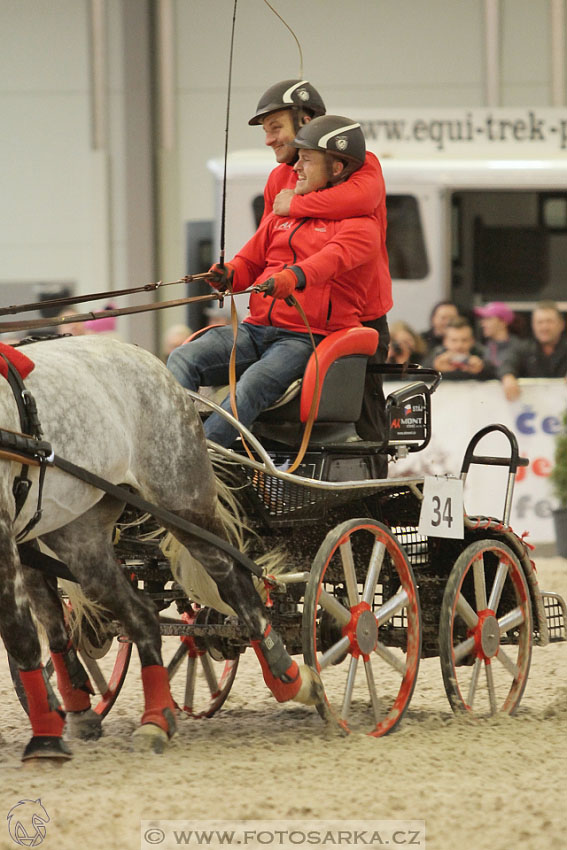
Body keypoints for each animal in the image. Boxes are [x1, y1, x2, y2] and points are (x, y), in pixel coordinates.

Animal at [1, 334, 320, 760]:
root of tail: (150, 359)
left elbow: (18, 632)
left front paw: (46, 741)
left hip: (182, 501)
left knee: (235, 581)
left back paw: (288, 676)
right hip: (76, 529)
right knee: (130, 613)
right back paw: (151, 718)